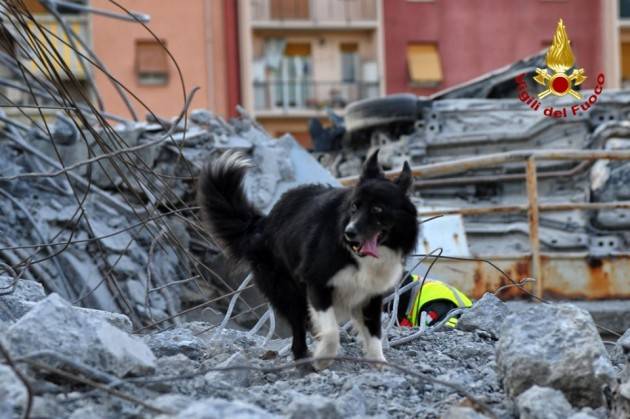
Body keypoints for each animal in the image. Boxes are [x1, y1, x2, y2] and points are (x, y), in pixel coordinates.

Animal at [199, 151, 420, 370]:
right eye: (354, 207)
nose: (349, 233)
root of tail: (264, 223)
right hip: (288, 291)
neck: (355, 257)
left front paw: (379, 363)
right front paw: (323, 358)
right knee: (298, 328)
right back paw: (303, 359)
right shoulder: (317, 282)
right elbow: (330, 332)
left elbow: (374, 333)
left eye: (377, 209)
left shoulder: (370, 295)